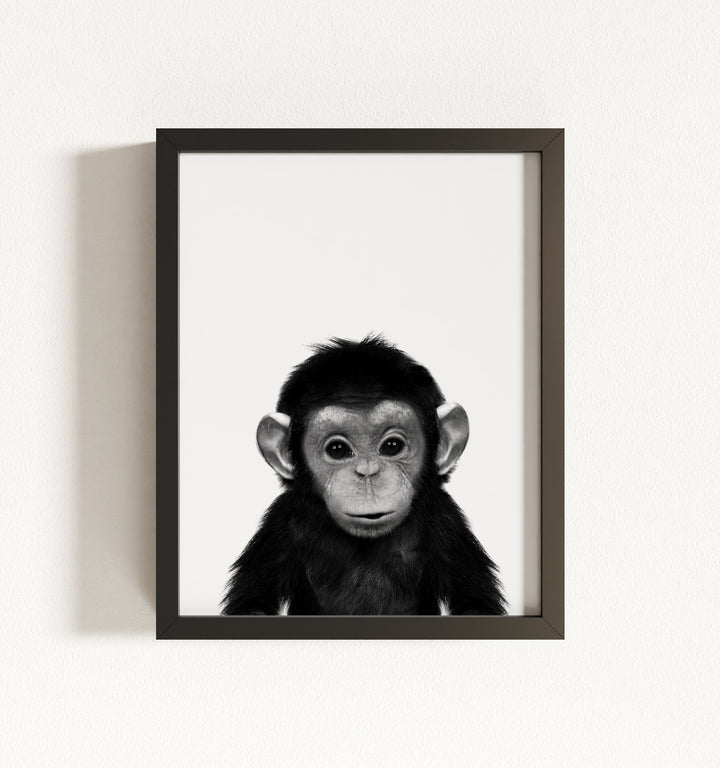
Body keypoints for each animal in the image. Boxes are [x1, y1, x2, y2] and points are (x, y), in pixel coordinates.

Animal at [222, 335, 505, 616]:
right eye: (337, 449)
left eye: (392, 446)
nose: (368, 472)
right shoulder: (280, 523)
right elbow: (253, 603)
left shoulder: (446, 520)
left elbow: (474, 603)